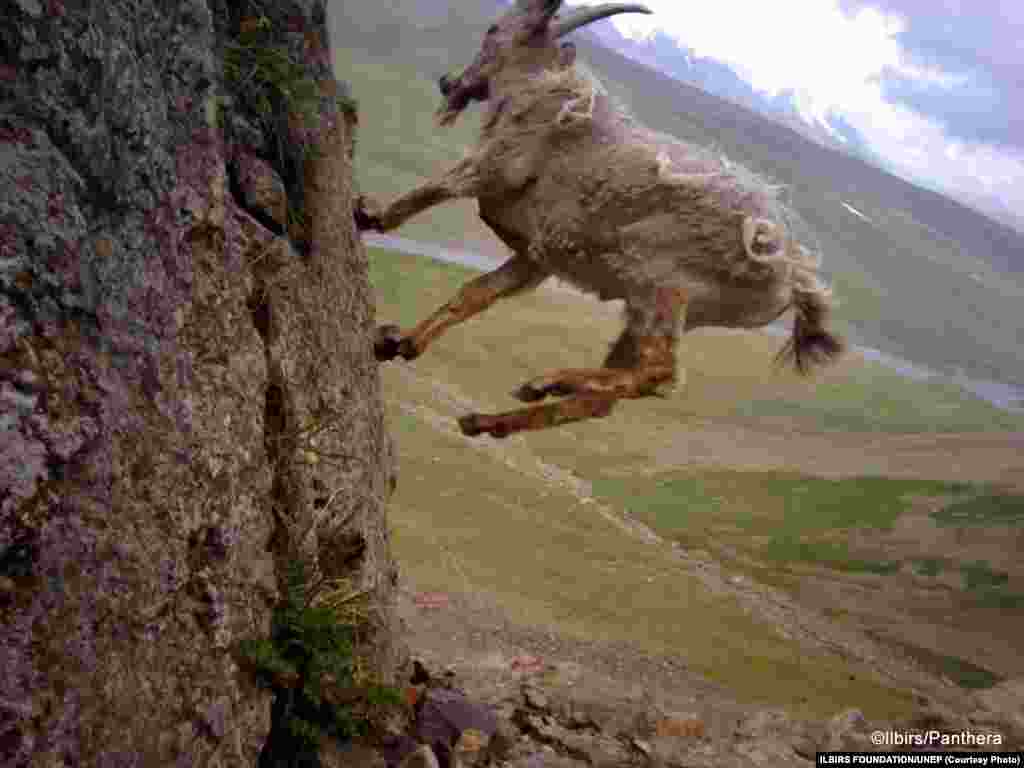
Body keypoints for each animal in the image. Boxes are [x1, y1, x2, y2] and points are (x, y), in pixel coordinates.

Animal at [356, 0, 843, 438]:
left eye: (494, 28)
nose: (449, 82)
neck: (544, 88)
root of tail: (794, 276)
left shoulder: (495, 165)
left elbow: (430, 191)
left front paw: (369, 215)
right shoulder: (536, 257)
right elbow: (475, 293)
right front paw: (401, 343)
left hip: (662, 284)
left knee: (659, 374)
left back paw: (547, 381)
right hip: (677, 309)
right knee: (608, 398)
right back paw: (493, 420)